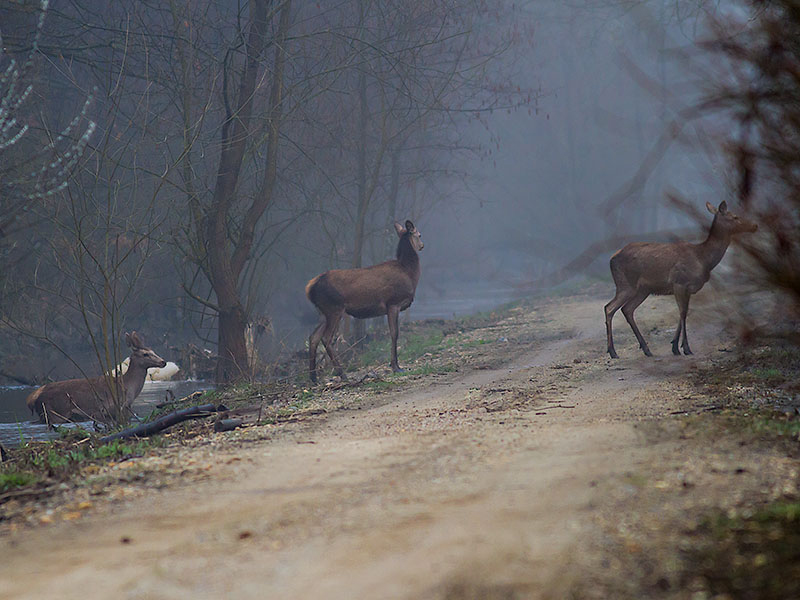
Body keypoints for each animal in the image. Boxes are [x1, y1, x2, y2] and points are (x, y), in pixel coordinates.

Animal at [25, 330, 166, 424]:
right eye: (145, 354)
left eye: (153, 351)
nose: (163, 362)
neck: (127, 386)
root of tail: (32, 398)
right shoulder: (107, 409)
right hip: (55, 411)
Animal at [304, 218, 424, 382]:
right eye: (419, 234)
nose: (422, 245)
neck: (409, 273)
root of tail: (310, 288)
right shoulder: (393, 303)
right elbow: (394, 333)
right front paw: (395, 367)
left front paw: (396, 366)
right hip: (334, 308)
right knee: (326, 338)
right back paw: (342, 374)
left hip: (323, 312)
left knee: (313, 337)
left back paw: (314, 378)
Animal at [608, 202, 756, 358]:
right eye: (735, 217)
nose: (754, 225)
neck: (703, 259)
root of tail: (612, 259)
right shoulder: (679, 282)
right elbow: (683, 313)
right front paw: (686, 348)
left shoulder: (688, 288)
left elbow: (683, 312)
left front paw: (675, 347)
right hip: (626, 284)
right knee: (609, 308)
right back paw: (613, 351)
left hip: (643, 290)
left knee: (627, 309)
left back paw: (646, 349)